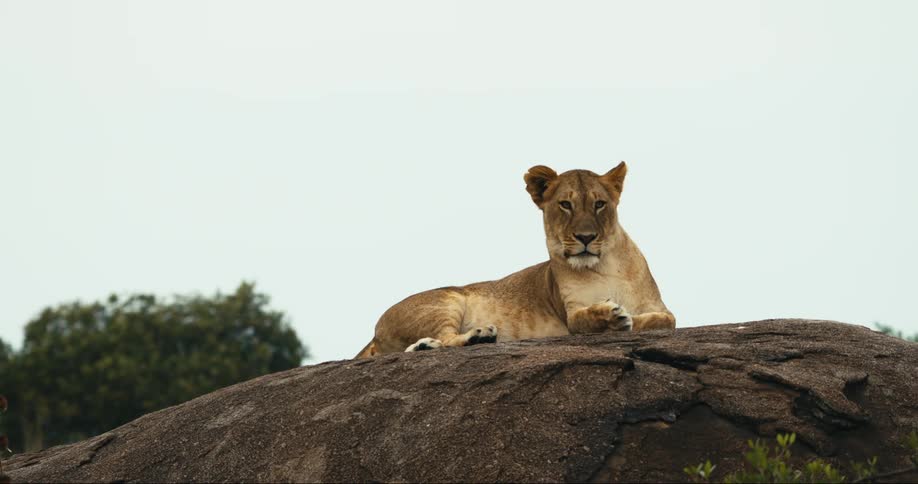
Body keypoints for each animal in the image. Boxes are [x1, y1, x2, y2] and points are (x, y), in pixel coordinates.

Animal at [355, 162, 675, 358]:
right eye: (565, 204)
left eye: (599, 204)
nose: (585, 237)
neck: (605, 266)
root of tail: (375, 331)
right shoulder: (571, 315)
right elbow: (589, 318)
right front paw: (612, 316)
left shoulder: (661, 308)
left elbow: (663, 321)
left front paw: (628, 317)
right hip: (445, 302)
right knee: (446, 339)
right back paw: (478, 336)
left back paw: (428, 347)